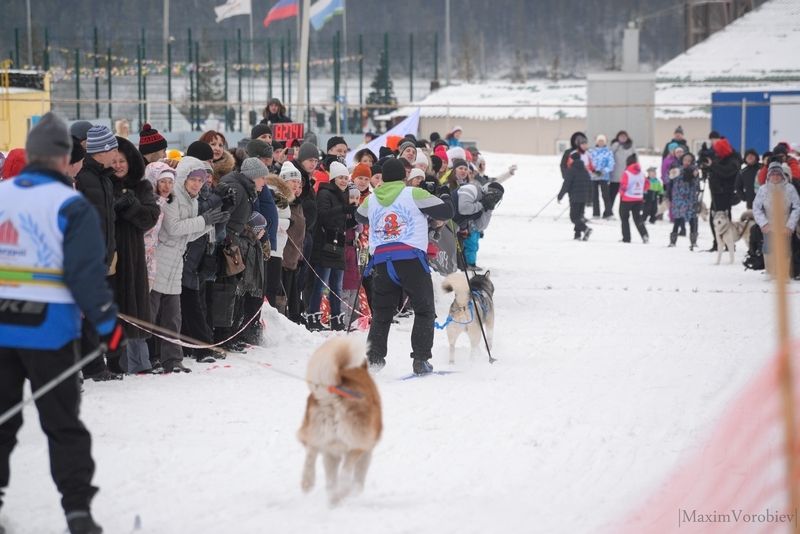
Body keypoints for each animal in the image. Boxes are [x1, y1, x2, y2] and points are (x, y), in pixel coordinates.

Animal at [296, 340, 382, 506]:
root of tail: (333, 394)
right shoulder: (366, 451)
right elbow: (359, 478)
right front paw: (352, 492)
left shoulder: (331, 454)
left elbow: (330, 481)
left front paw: (333, 501)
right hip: (356, 444)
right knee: (346, 473)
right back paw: (344, 491)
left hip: (317, 434)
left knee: (311, 451)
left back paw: (308, 482)